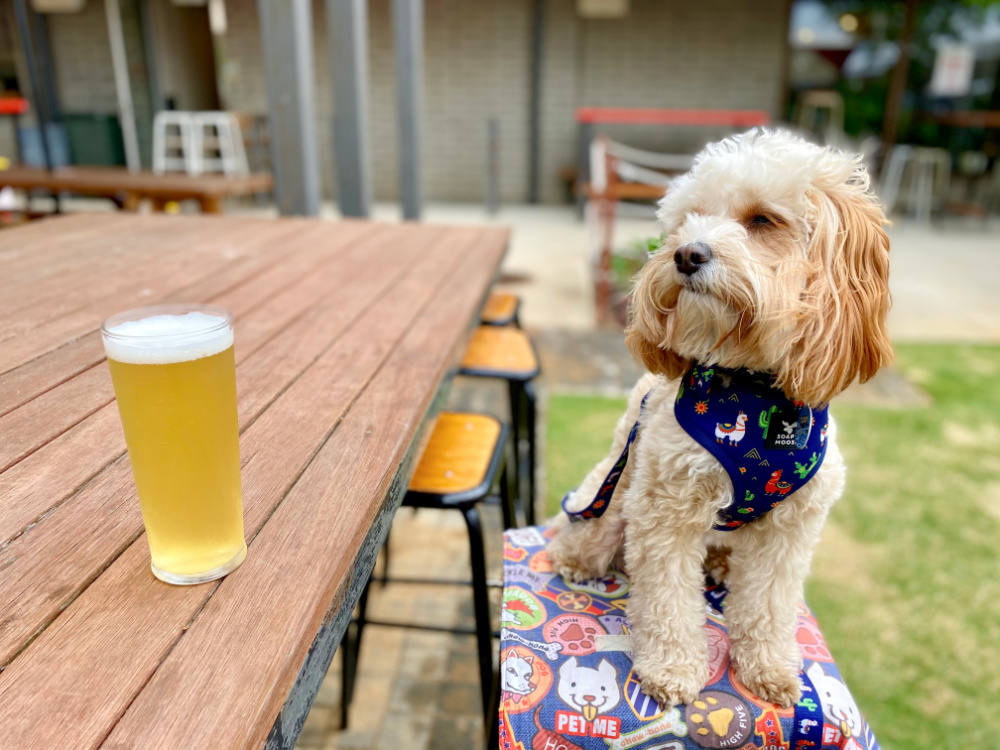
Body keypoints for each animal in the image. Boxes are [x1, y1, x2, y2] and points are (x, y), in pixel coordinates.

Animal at [552, 129, 896, 712]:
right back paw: (574, 559)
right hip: (609, 504)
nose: (686, 254)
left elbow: (771, 605)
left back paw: (720, 566)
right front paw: (670, 669)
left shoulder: (791, 529)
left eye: (762, 220)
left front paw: (770, 668)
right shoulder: (664, 511)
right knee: (582, 537)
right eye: (688, 219)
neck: (753, 393)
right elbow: (668, 600)